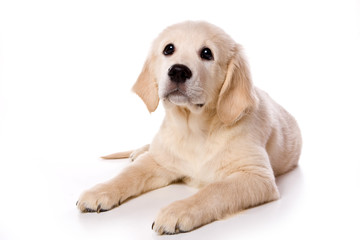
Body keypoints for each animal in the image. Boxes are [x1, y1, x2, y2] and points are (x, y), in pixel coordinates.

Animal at [76, 20, 300, 234]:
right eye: (168, 49)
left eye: (207, 53)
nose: (178, 71)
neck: (194, 129)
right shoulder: (159, 161)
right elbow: (129, 174)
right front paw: (98, 191)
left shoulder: (256, 176)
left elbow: (215, 190)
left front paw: (177, 211)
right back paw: (137, 152)